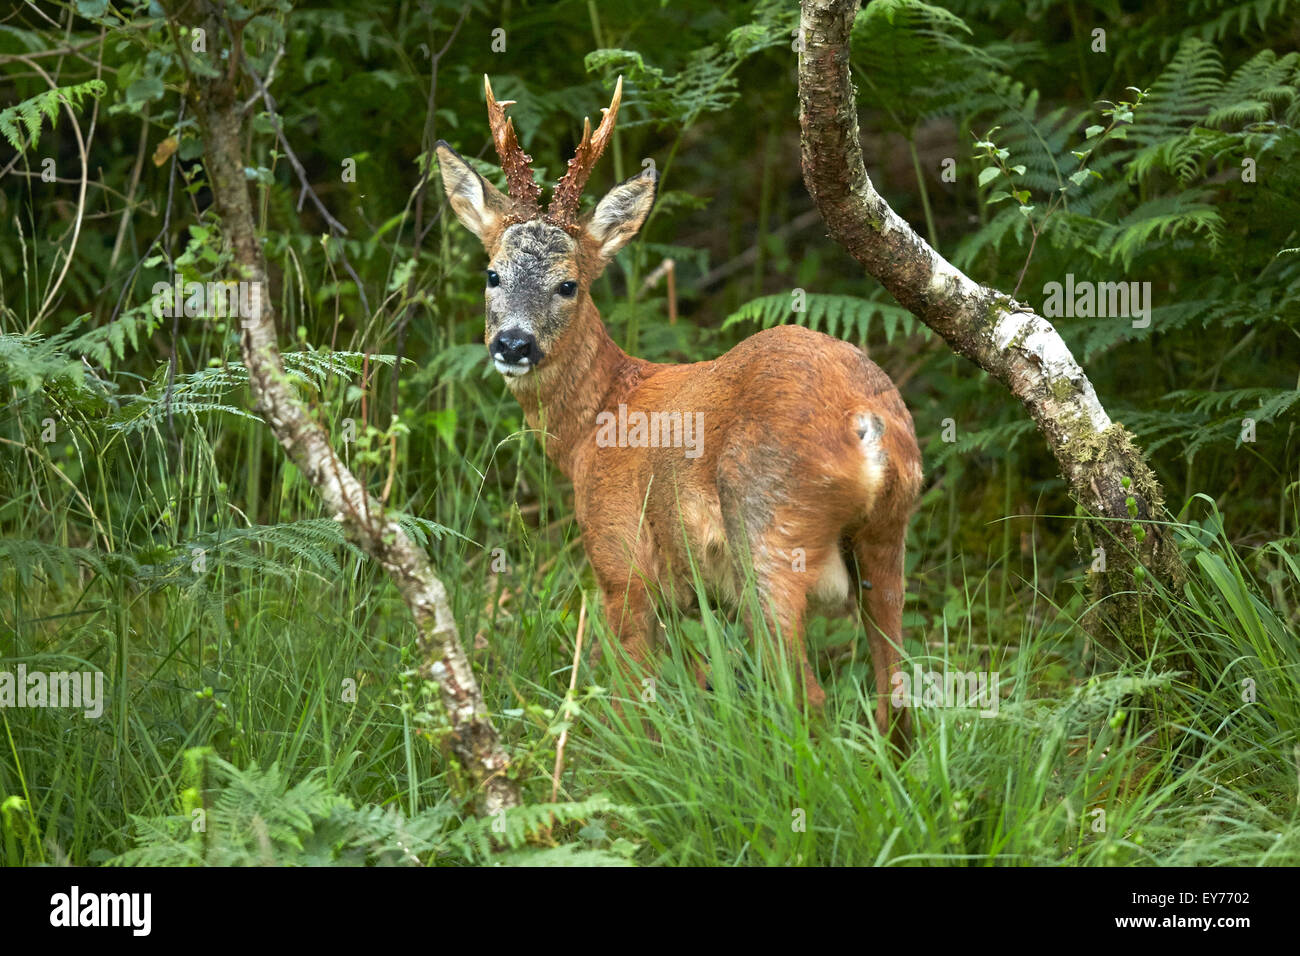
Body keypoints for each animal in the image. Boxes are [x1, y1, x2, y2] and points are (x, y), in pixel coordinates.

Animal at [435, 76, 922, 744]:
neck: (596, 421)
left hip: (770, 535)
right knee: (896, 693)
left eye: (568, 284)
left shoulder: (621, 564)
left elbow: (631, 701)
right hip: (888, 536)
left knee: (808, 694)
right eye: (492, 274)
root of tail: (866, 423)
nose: (513, 344)